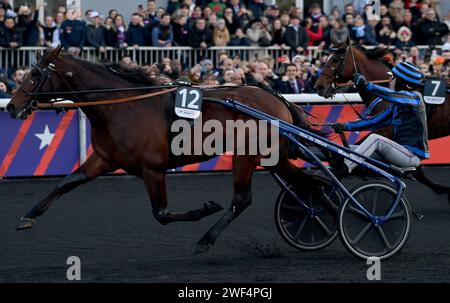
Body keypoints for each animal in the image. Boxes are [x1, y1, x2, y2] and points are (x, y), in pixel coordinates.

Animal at [5, 45, 326, 254]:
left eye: (35, 74)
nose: (11, 106)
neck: (122, 108)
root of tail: (277, 98)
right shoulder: (105, 158)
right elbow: (67, 182)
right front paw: (27, 216)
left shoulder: (152, 170)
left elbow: (161, 213)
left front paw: (205, 208)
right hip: (272, 157)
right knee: (310, 184)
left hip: (246, 156)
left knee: (242, 199)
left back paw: (206, 239)